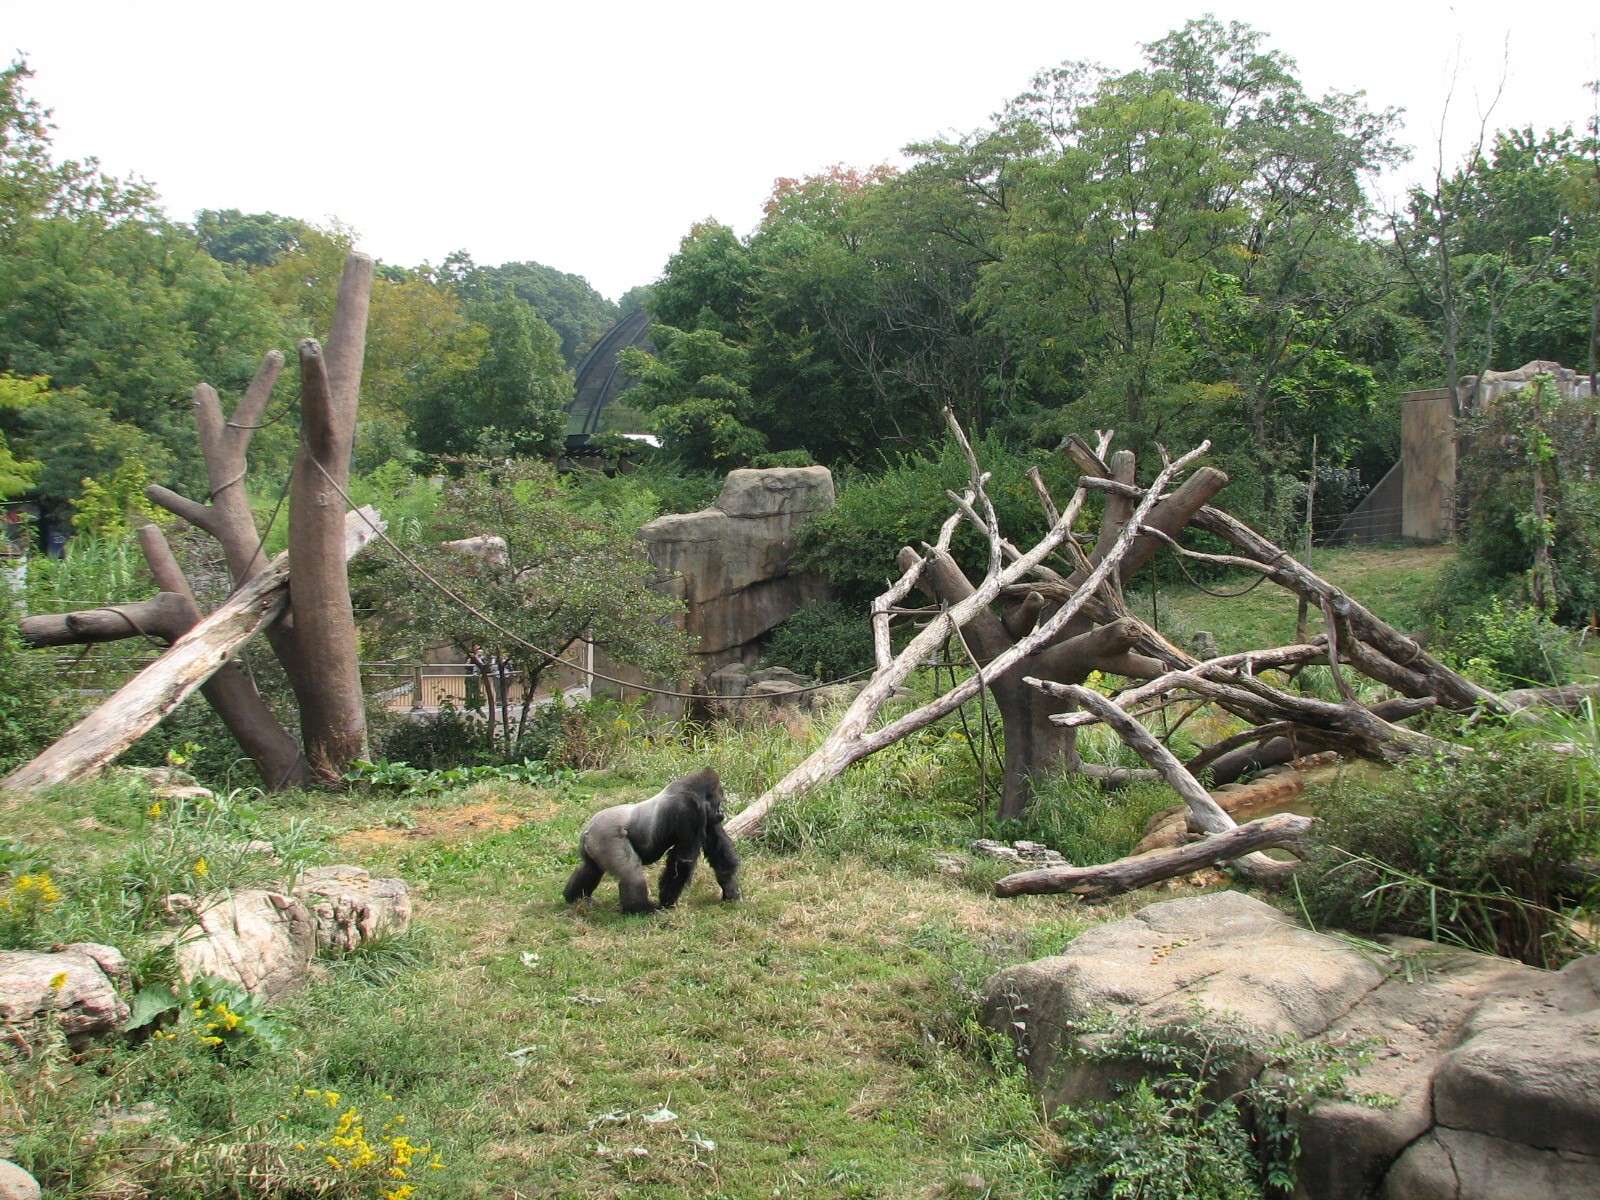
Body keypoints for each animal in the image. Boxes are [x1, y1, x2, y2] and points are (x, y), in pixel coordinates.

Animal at [562, 767, 741, 914]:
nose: (722, 812)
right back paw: (640, 909)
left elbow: (718, 851)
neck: (694, 792)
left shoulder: (706, 818)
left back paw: (574, 898)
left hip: (594, 842)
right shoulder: (690, 810)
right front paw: (667, 902)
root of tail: (587, 830)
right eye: (720, 801)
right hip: (607, 836)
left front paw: (730, 890)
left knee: (591, 868)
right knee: (631, 872)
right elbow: (683, 860)